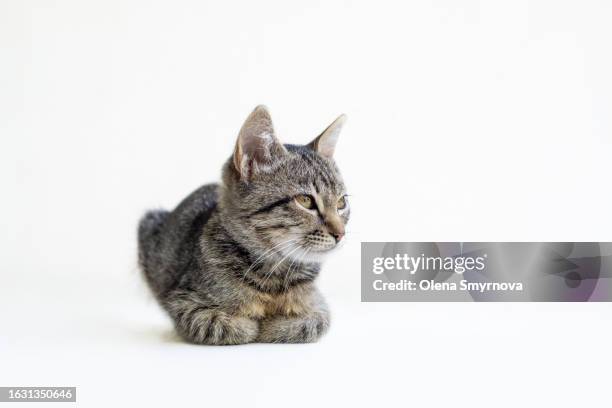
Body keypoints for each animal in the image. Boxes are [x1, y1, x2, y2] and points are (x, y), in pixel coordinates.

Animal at [137, 105, 350, 344]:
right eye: (305, 200)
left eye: (341, 203)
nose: (341, 233)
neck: (273, 273)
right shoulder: (182, 302)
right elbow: (228, 326)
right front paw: (258, 325)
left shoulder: (318, 305)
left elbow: (313, 323)